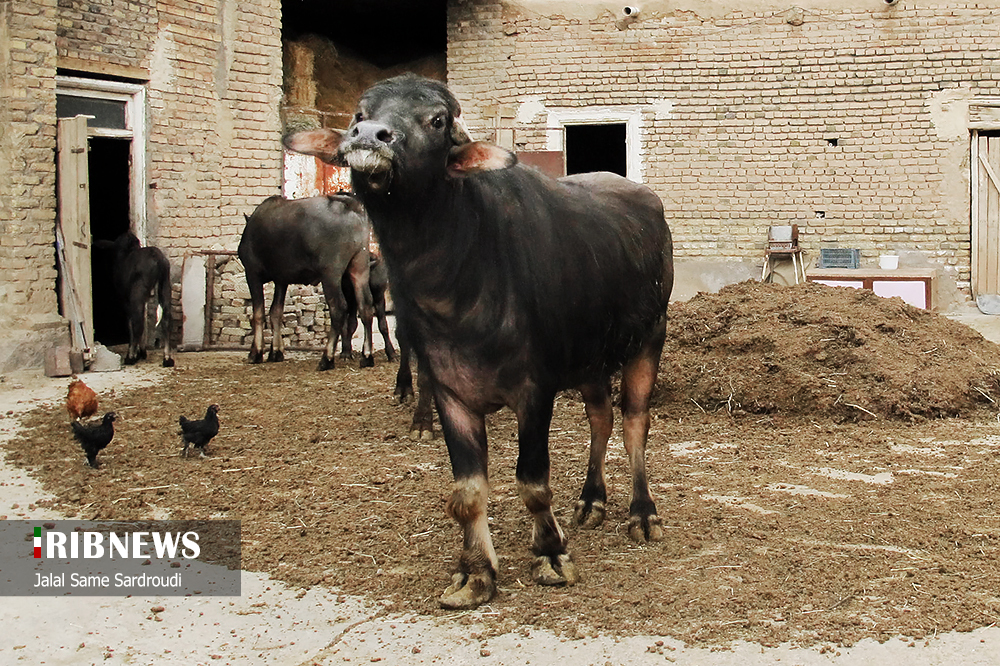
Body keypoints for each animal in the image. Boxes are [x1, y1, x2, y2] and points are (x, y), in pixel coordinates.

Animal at [96, 231, 175, 366]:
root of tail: (158, 258)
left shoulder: (125, 298)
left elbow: (130, 323)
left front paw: (136, 353)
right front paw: (142, 352)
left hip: (137, 292)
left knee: (138, 322)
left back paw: (130, 357)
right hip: (165, 285)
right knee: (166, 319)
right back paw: (167, 358)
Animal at [238, 193, 376, 368]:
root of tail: (351, 206)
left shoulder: (252, 273)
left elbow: (258, 314)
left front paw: (256, 352)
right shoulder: (281, 280)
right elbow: (275, 312)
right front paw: (276, 352)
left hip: (331, 274)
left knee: (338, 308)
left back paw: (327, 358)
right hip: (359, 268)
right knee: (365, 307)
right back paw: (367, 356)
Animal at [284, 72, 672, 608]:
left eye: (437, 119)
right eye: (360, 114)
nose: (369, 138)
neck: (460, 278)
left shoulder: (534, 390)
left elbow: (533, 482)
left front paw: (550, 555)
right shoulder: (451, 392)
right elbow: (467, 492)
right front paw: (474, 572)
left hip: (648, 340)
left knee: (635, 422)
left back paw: (642, 513)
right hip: (588, 359)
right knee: (601, 418)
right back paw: (591, 501)